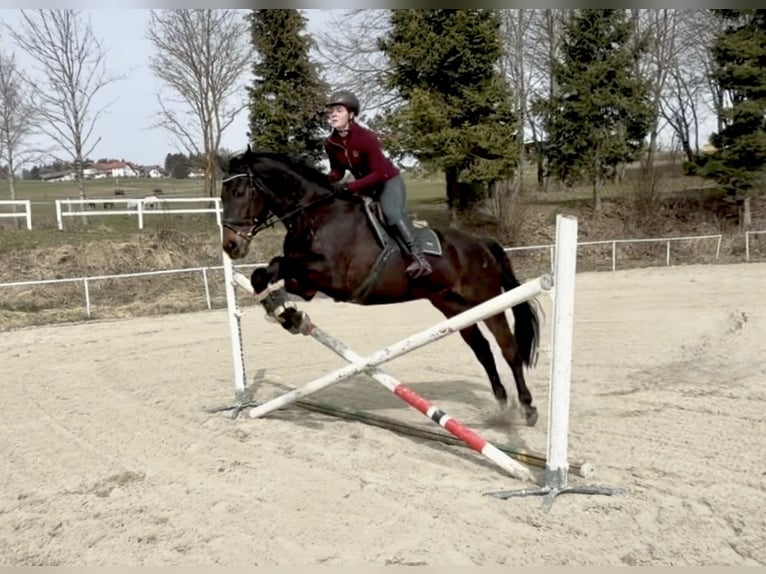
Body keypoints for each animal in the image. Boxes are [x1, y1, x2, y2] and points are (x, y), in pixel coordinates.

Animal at [220, 146, 543, 426]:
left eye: (238, 192)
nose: (230, 246)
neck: (314, 215)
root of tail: (482, 243)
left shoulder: (333, 276)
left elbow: (278, 265)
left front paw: (287, 314)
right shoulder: (308, 284)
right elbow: (265, 273)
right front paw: (287, 315)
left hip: (487, 302)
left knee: (509, 349)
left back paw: (527, 408)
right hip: (453, 307)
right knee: (483, 350)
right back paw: (501, 405)